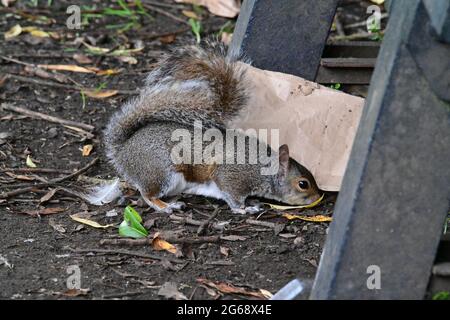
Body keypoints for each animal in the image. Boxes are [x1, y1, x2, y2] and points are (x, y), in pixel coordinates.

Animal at [103, 40, 320, 215]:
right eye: (303, 184)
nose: (318, 197)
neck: (263, 169)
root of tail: (124, 150)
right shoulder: (232, 176)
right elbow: (233, 197)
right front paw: (245, 208)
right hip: (160, 172)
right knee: (148, 194)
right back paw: (166, 206)